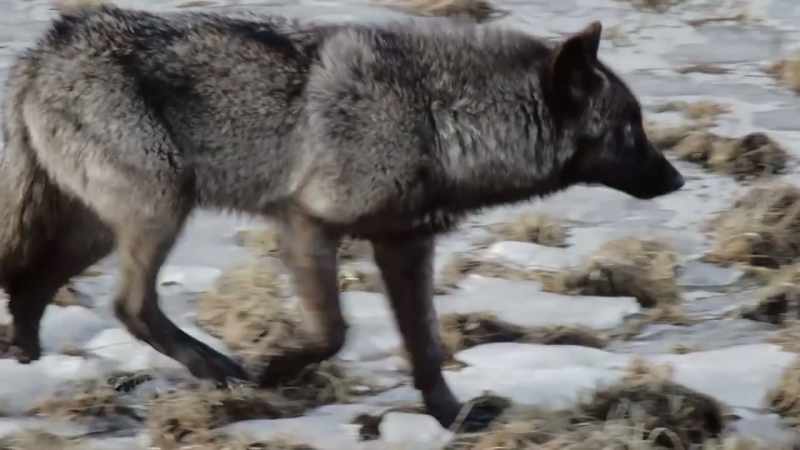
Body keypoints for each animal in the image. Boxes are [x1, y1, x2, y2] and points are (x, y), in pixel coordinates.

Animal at [0, 4, 684, 429]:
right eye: (631, 129)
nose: (679, 180)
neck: (438, 117)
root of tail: (45, 47)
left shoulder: (406, 248)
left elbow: (427, 350)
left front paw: (452, 419)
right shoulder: (307, 226)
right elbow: (334, 332)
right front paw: (276, 368)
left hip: (101, 229)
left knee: (31, 286)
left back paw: (30, 367)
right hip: (161, 210)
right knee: (129, 306)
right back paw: (215, 369)